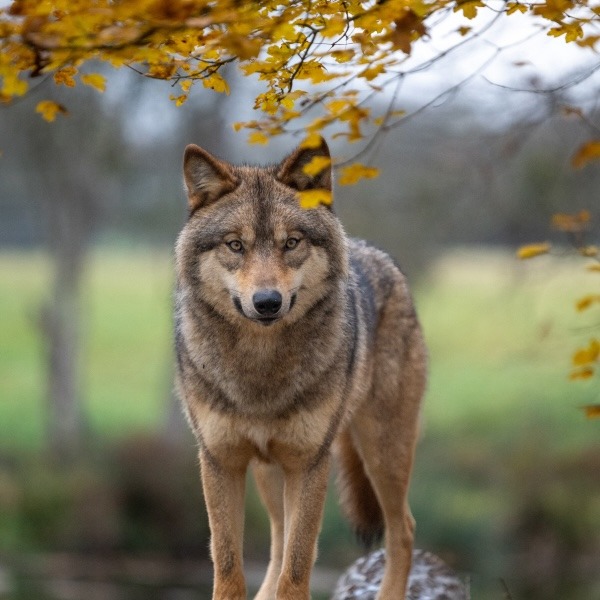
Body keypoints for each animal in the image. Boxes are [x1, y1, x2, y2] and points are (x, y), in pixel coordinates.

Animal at [173, 137, 426, 600]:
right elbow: (229, 567)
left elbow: (297, 569)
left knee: (403, 531)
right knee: (275, 542)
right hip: (270, 473)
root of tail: (375, 251)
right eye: (235, 246)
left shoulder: (310, 463)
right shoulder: (220, 461)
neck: (260, 369)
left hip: (383, 453)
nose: (267, 302)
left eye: (291, 243)